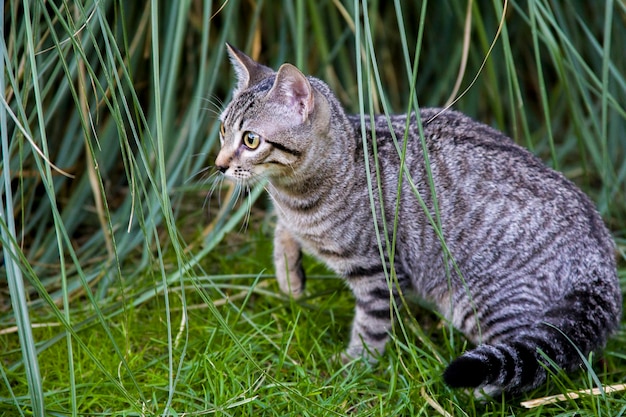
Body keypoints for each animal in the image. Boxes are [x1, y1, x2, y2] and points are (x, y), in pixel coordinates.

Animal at [213, 44, 620, 394]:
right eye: (222, 130)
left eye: (250, 140)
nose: (219, 165)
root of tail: (601, 255)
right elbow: (282, 230)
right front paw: (289, 275)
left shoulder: (377, 269)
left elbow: (371, 326)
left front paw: (353, 366)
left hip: (483, 299)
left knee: (539, 357)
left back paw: (486, 390)